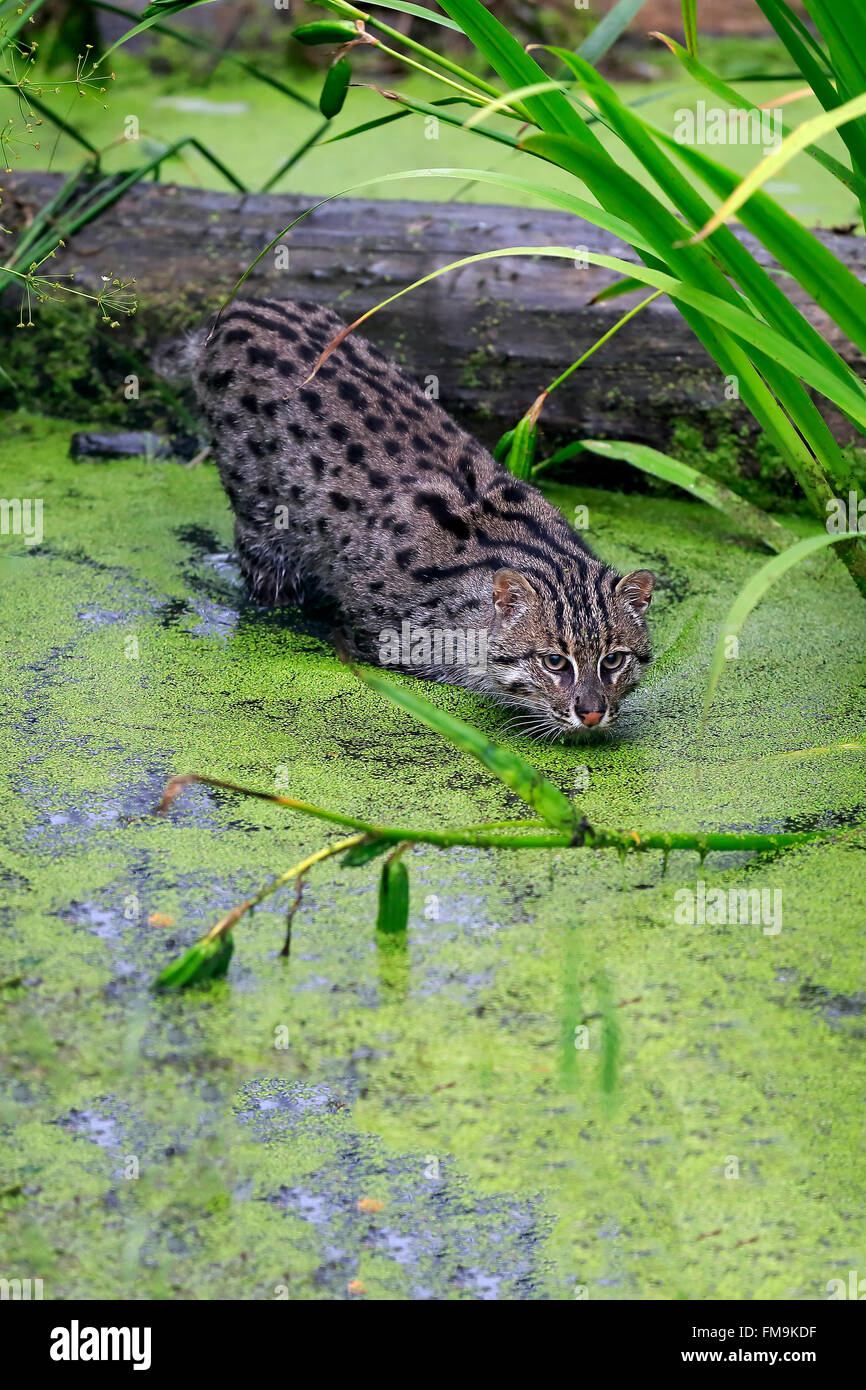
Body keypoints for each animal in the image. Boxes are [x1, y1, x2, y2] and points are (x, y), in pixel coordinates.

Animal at [193, 300, 653, 745]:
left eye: (614, 660)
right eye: (555, 662)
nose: (591, 713)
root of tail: (244, 306)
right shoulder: (381, 635)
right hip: (261, 528)